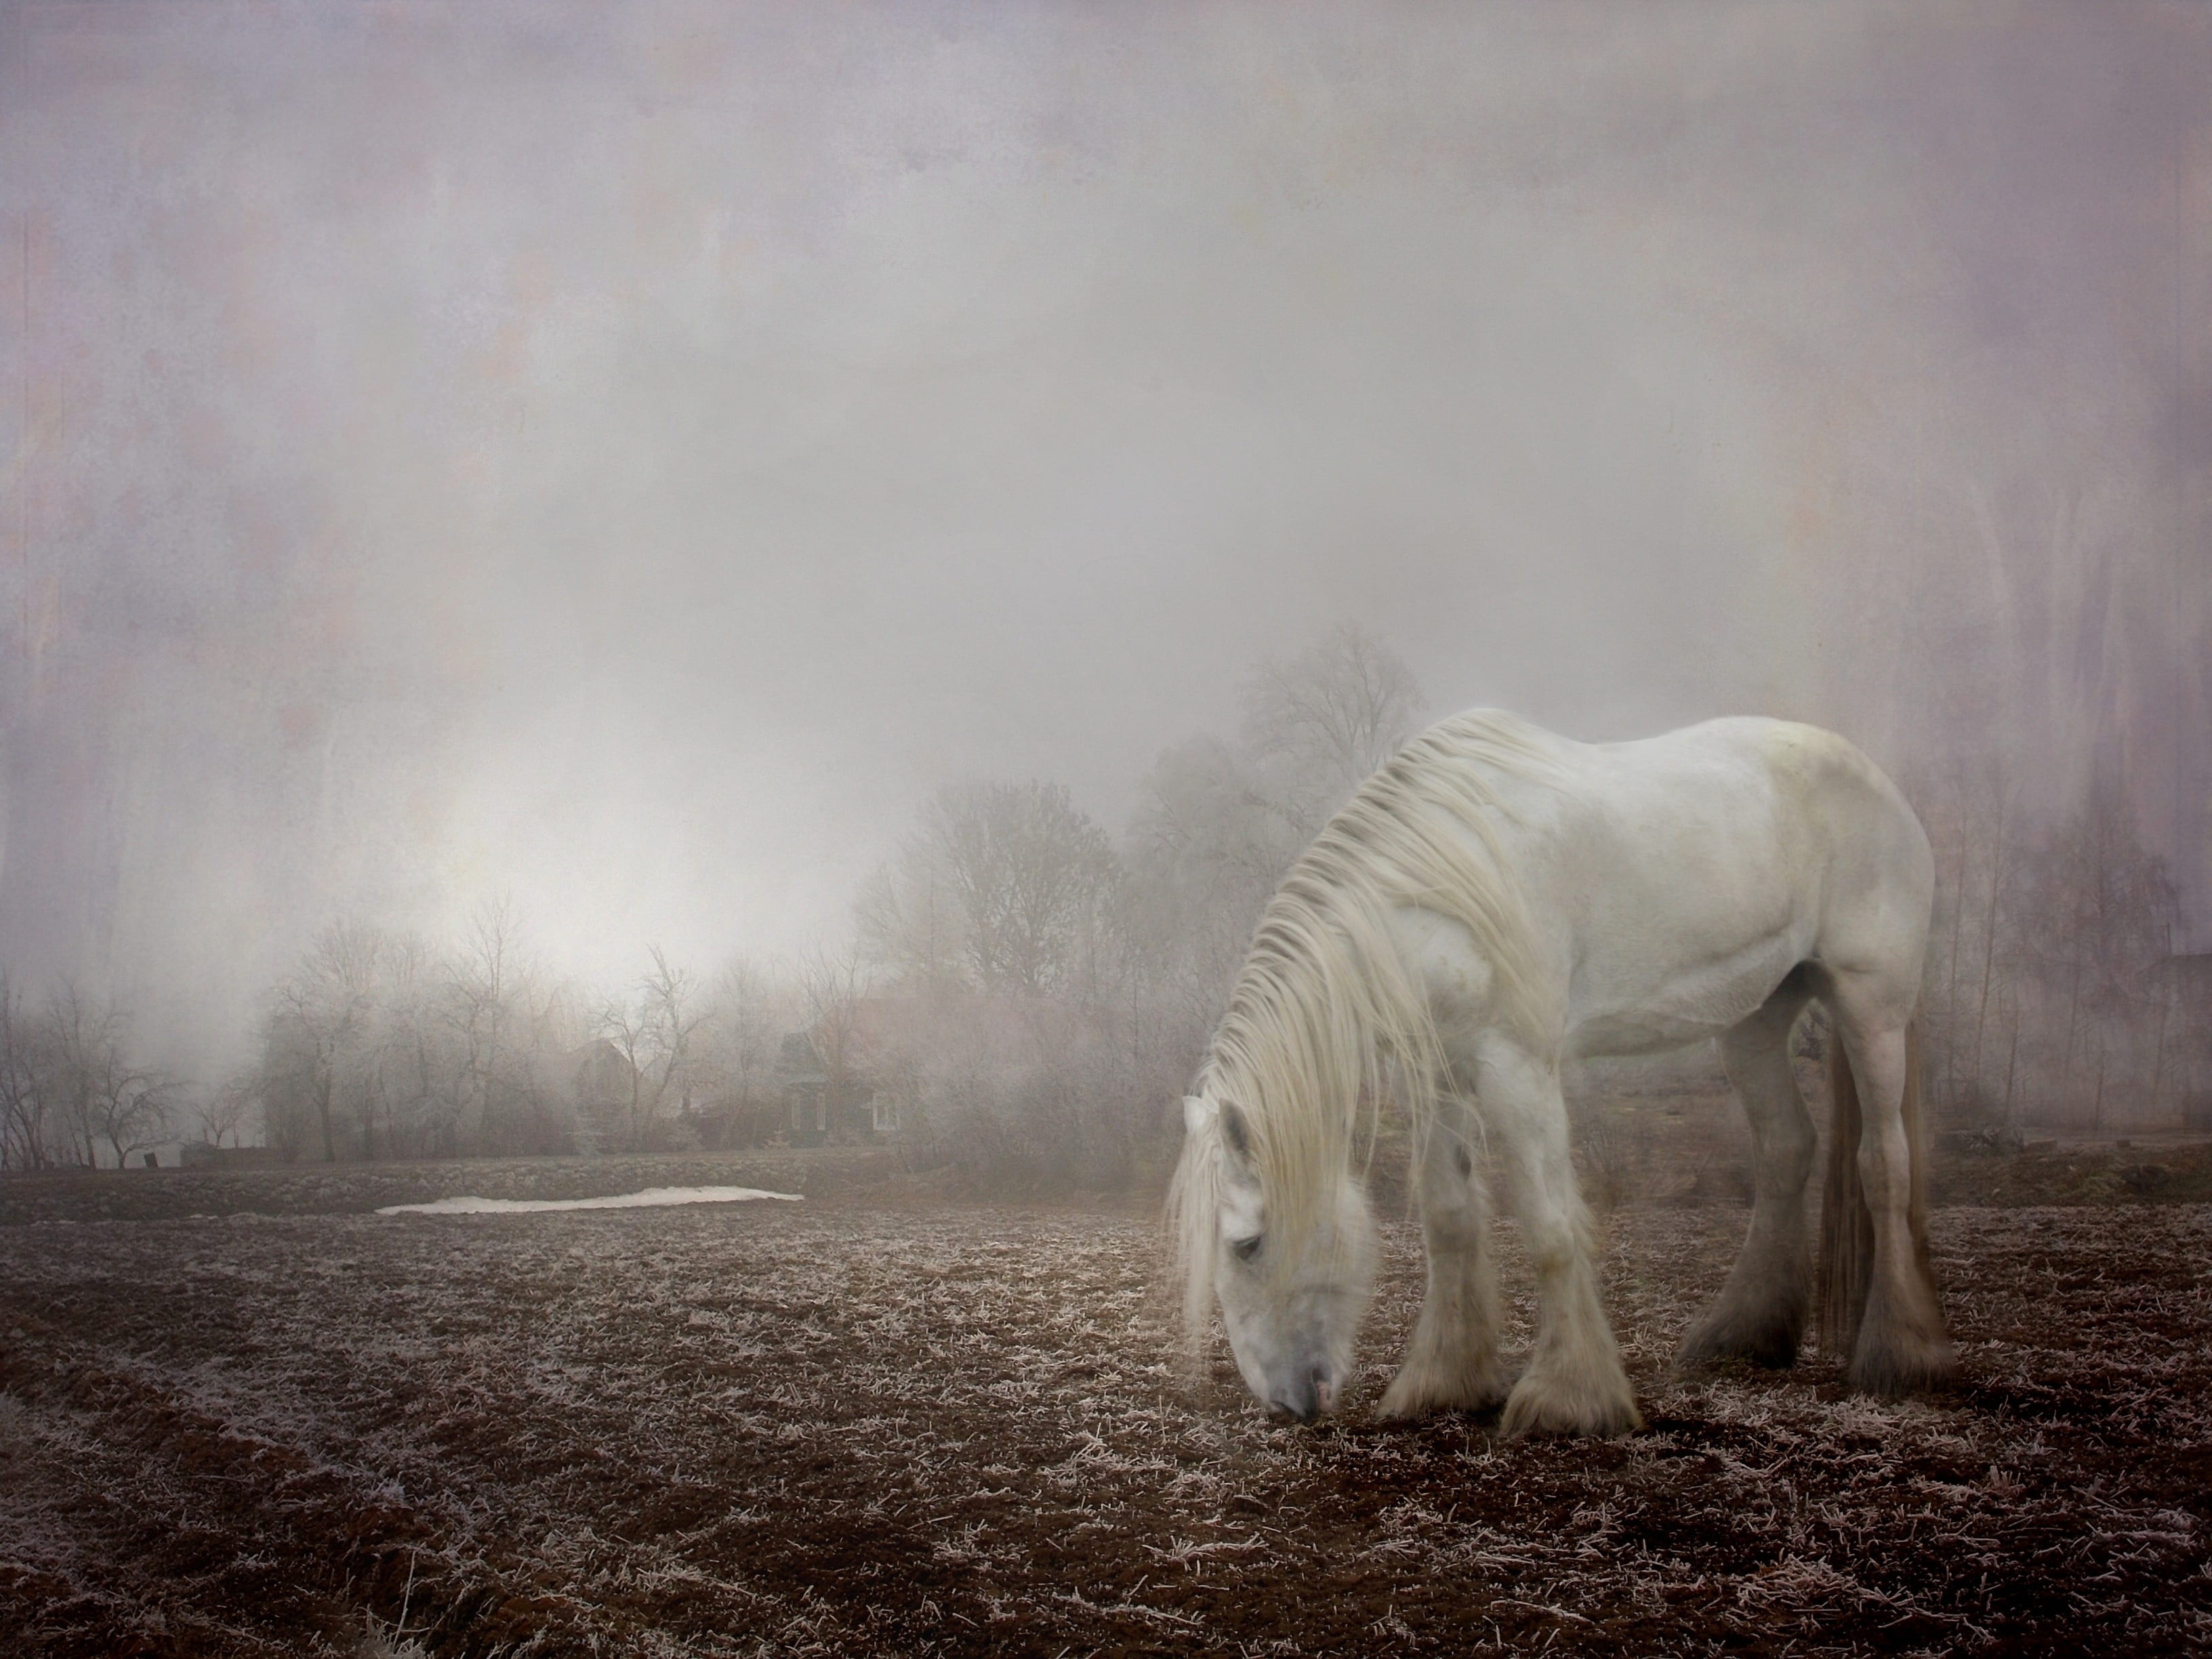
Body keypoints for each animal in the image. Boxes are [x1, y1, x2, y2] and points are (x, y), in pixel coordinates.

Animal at [1168, 710, 1952, 1436]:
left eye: (1246, 1244)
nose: (1285, 1401)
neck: (1433, 890)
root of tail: (1877, 779)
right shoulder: (1444, 1076)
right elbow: (1449, 1219)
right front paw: (1442, 1381)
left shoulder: (1518, 1069)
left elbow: (1550, 1226)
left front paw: (1569, 1398)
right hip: (1754, 1018)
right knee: (1787, 1149)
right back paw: (1744, 1334)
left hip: (1871, 1007)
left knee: (1885, 1163)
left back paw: (1899, 1354)